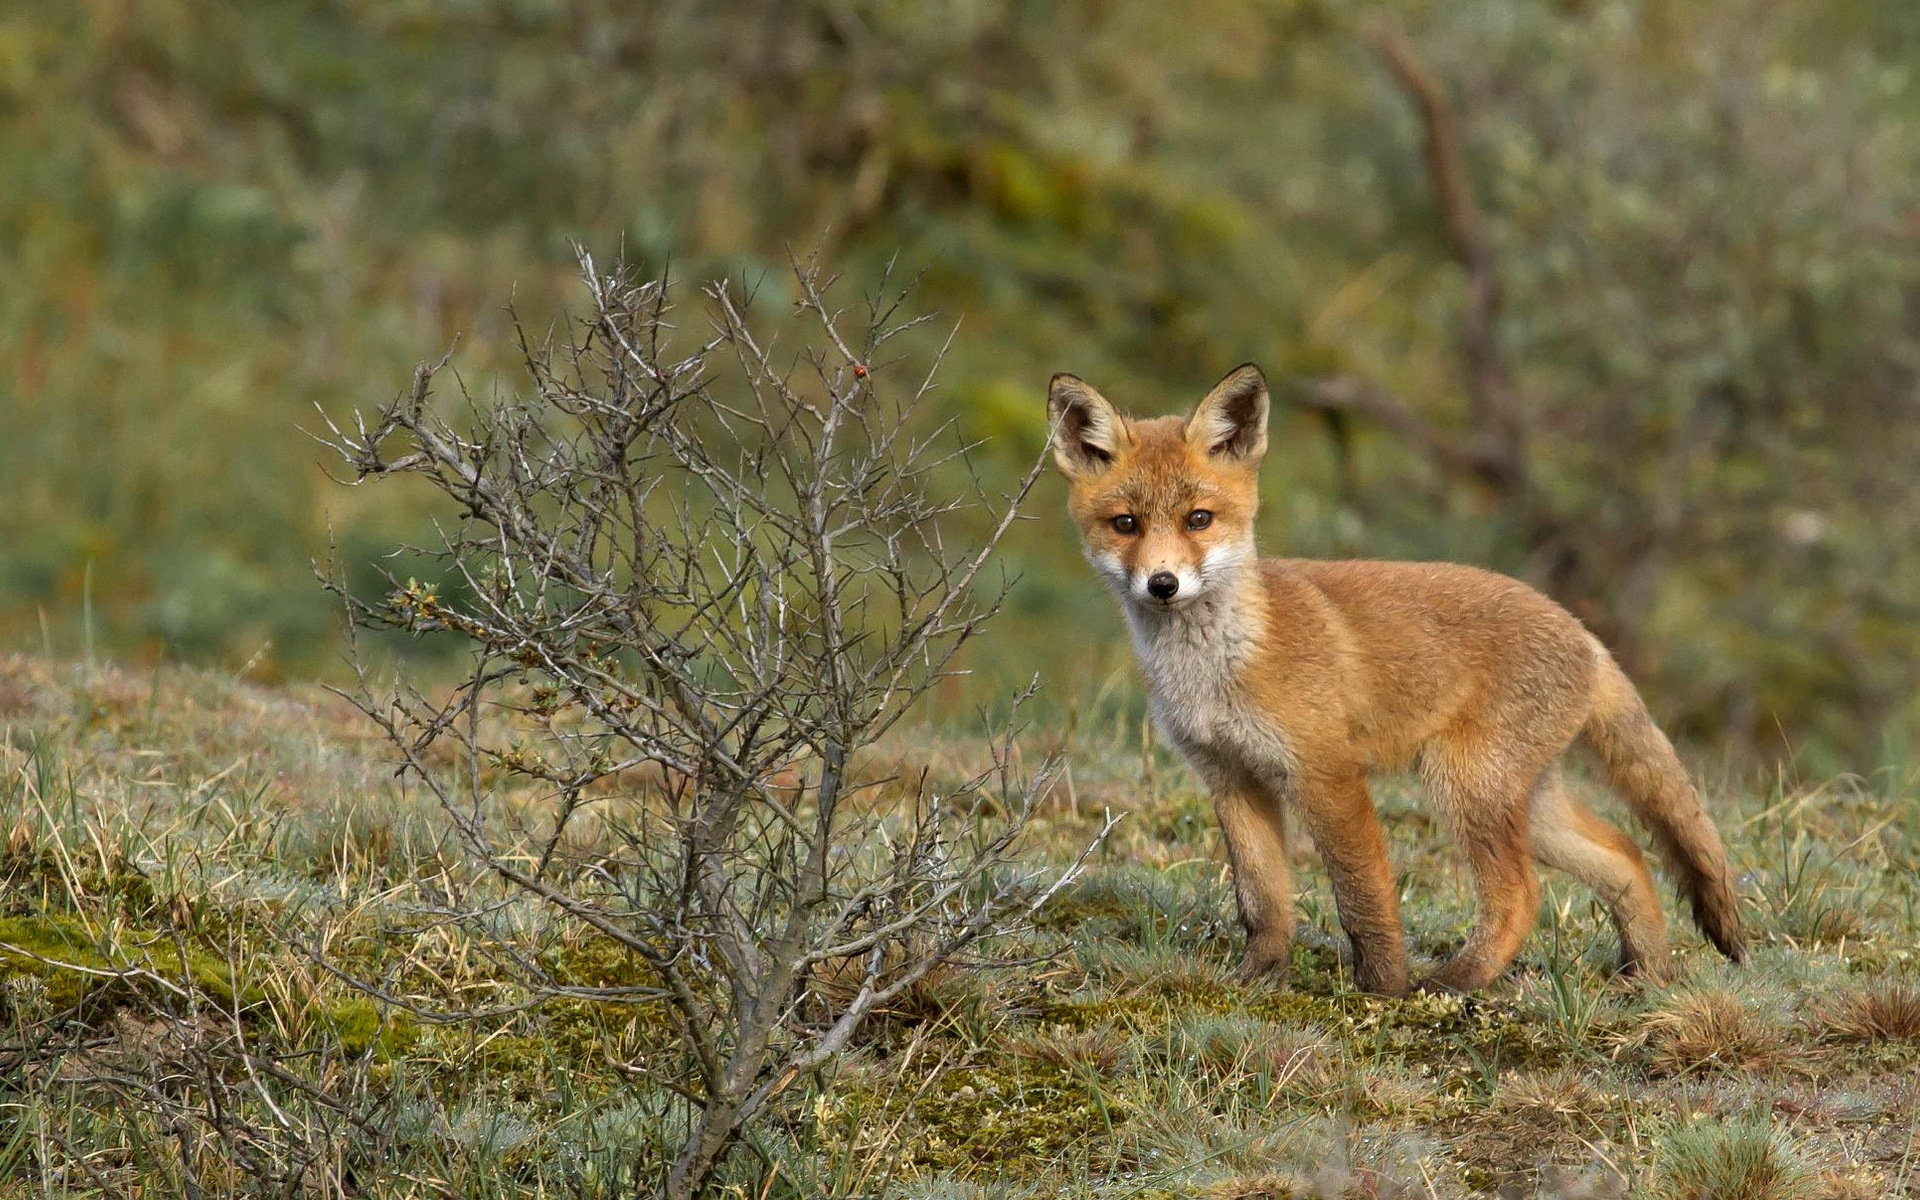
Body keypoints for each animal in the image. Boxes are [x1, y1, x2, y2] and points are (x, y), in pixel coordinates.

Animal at [1052, 362, 1743, 990]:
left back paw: (1458, 980)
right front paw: (1255, 979)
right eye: (1126, 524)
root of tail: (1584, 632)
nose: (1163, 584)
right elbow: (1264, 902)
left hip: (1465, 785)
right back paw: (1649, 976)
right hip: (1526, 802)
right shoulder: (1231, 777)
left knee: (1523, 894)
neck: (1219, 668)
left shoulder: (1329, 775)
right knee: (1626, 855)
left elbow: (1363, 896)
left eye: (1198, 518)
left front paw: (1382, 987)